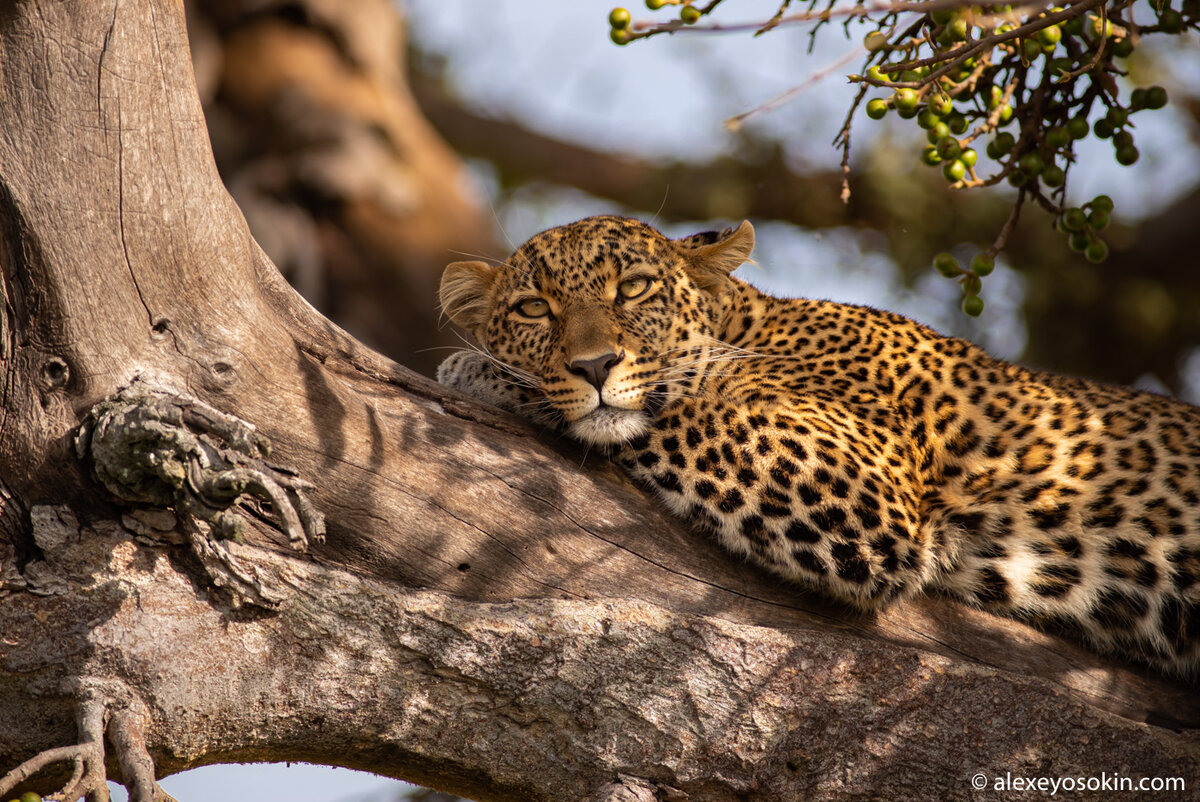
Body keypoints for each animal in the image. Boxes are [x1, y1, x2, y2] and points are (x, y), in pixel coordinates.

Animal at [439, 216, 1200, 681]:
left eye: (633, 288)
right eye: (533, 309)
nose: (593, 365)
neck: (753, 323)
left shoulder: (857, 481)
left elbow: (680, 401)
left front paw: (476, 371)